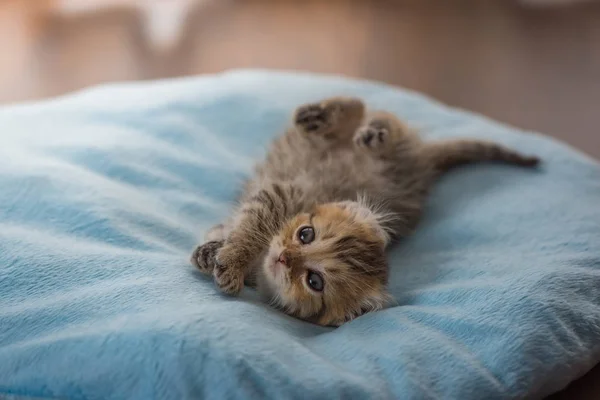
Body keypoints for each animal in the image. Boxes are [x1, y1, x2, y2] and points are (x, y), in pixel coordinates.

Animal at [190, 97, 536, 328]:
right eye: (306, 234)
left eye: (314, 281)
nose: (284, 257)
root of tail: (423, 162)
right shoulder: (280, 193)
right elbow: (249, 222)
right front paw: (222, 250)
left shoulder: (279, 196)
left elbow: (249, 224)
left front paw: (225, 257)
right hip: (377, 141)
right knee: (367, 110)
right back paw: (333, 117)